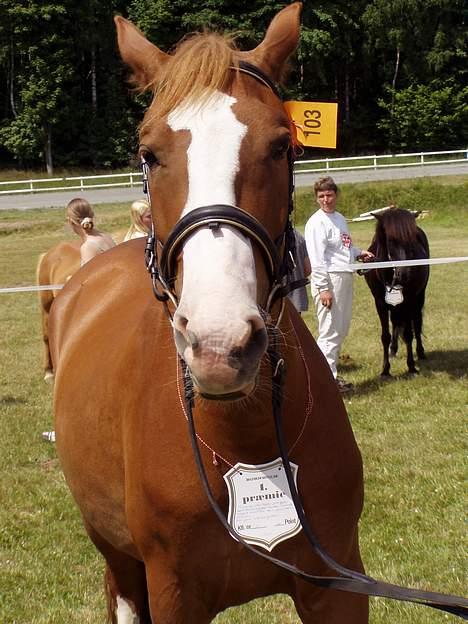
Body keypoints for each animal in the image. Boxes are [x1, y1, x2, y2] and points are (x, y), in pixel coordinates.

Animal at [50, 6, 370, 624]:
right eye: (149, 153)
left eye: (281, 145)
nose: (220, 344)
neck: (243, 435)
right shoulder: (174, 591)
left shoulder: (339, 585)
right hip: (118, 558)